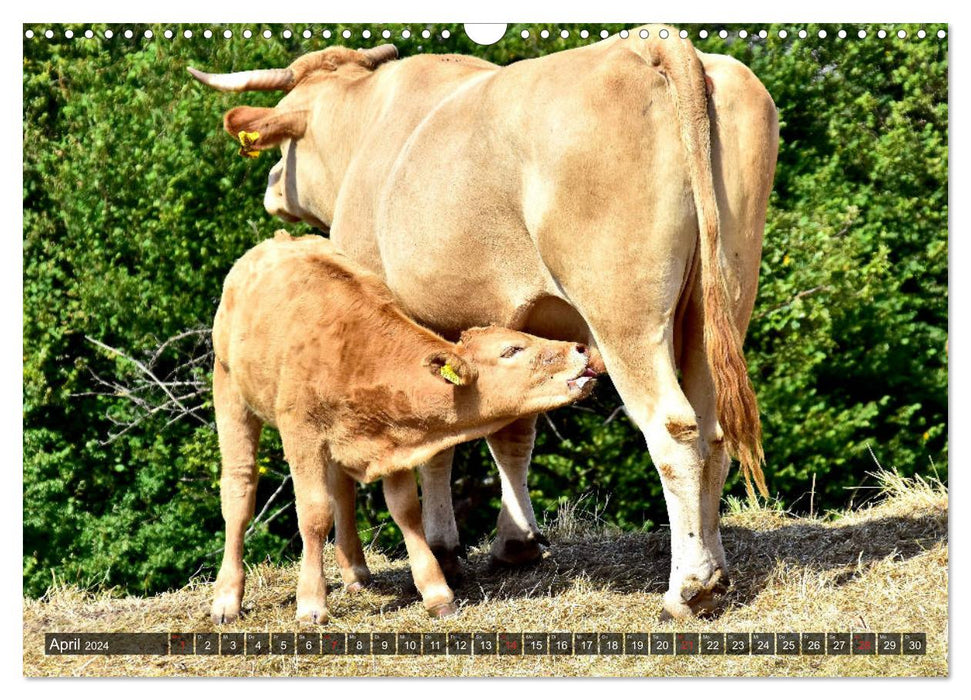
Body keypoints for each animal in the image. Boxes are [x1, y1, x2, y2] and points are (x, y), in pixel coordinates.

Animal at [209, 232, 596, 628]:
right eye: (511, 350)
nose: (580, 347)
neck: (357, 353)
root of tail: (278, 241)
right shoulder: (302, 435)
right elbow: (314, 515)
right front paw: (311, 604)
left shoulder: (391, 437)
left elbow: (406, 509)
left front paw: (437, 593)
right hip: (229, 390)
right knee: (239, 490)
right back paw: (227, 598)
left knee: (342, 490)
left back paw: (355, 572)